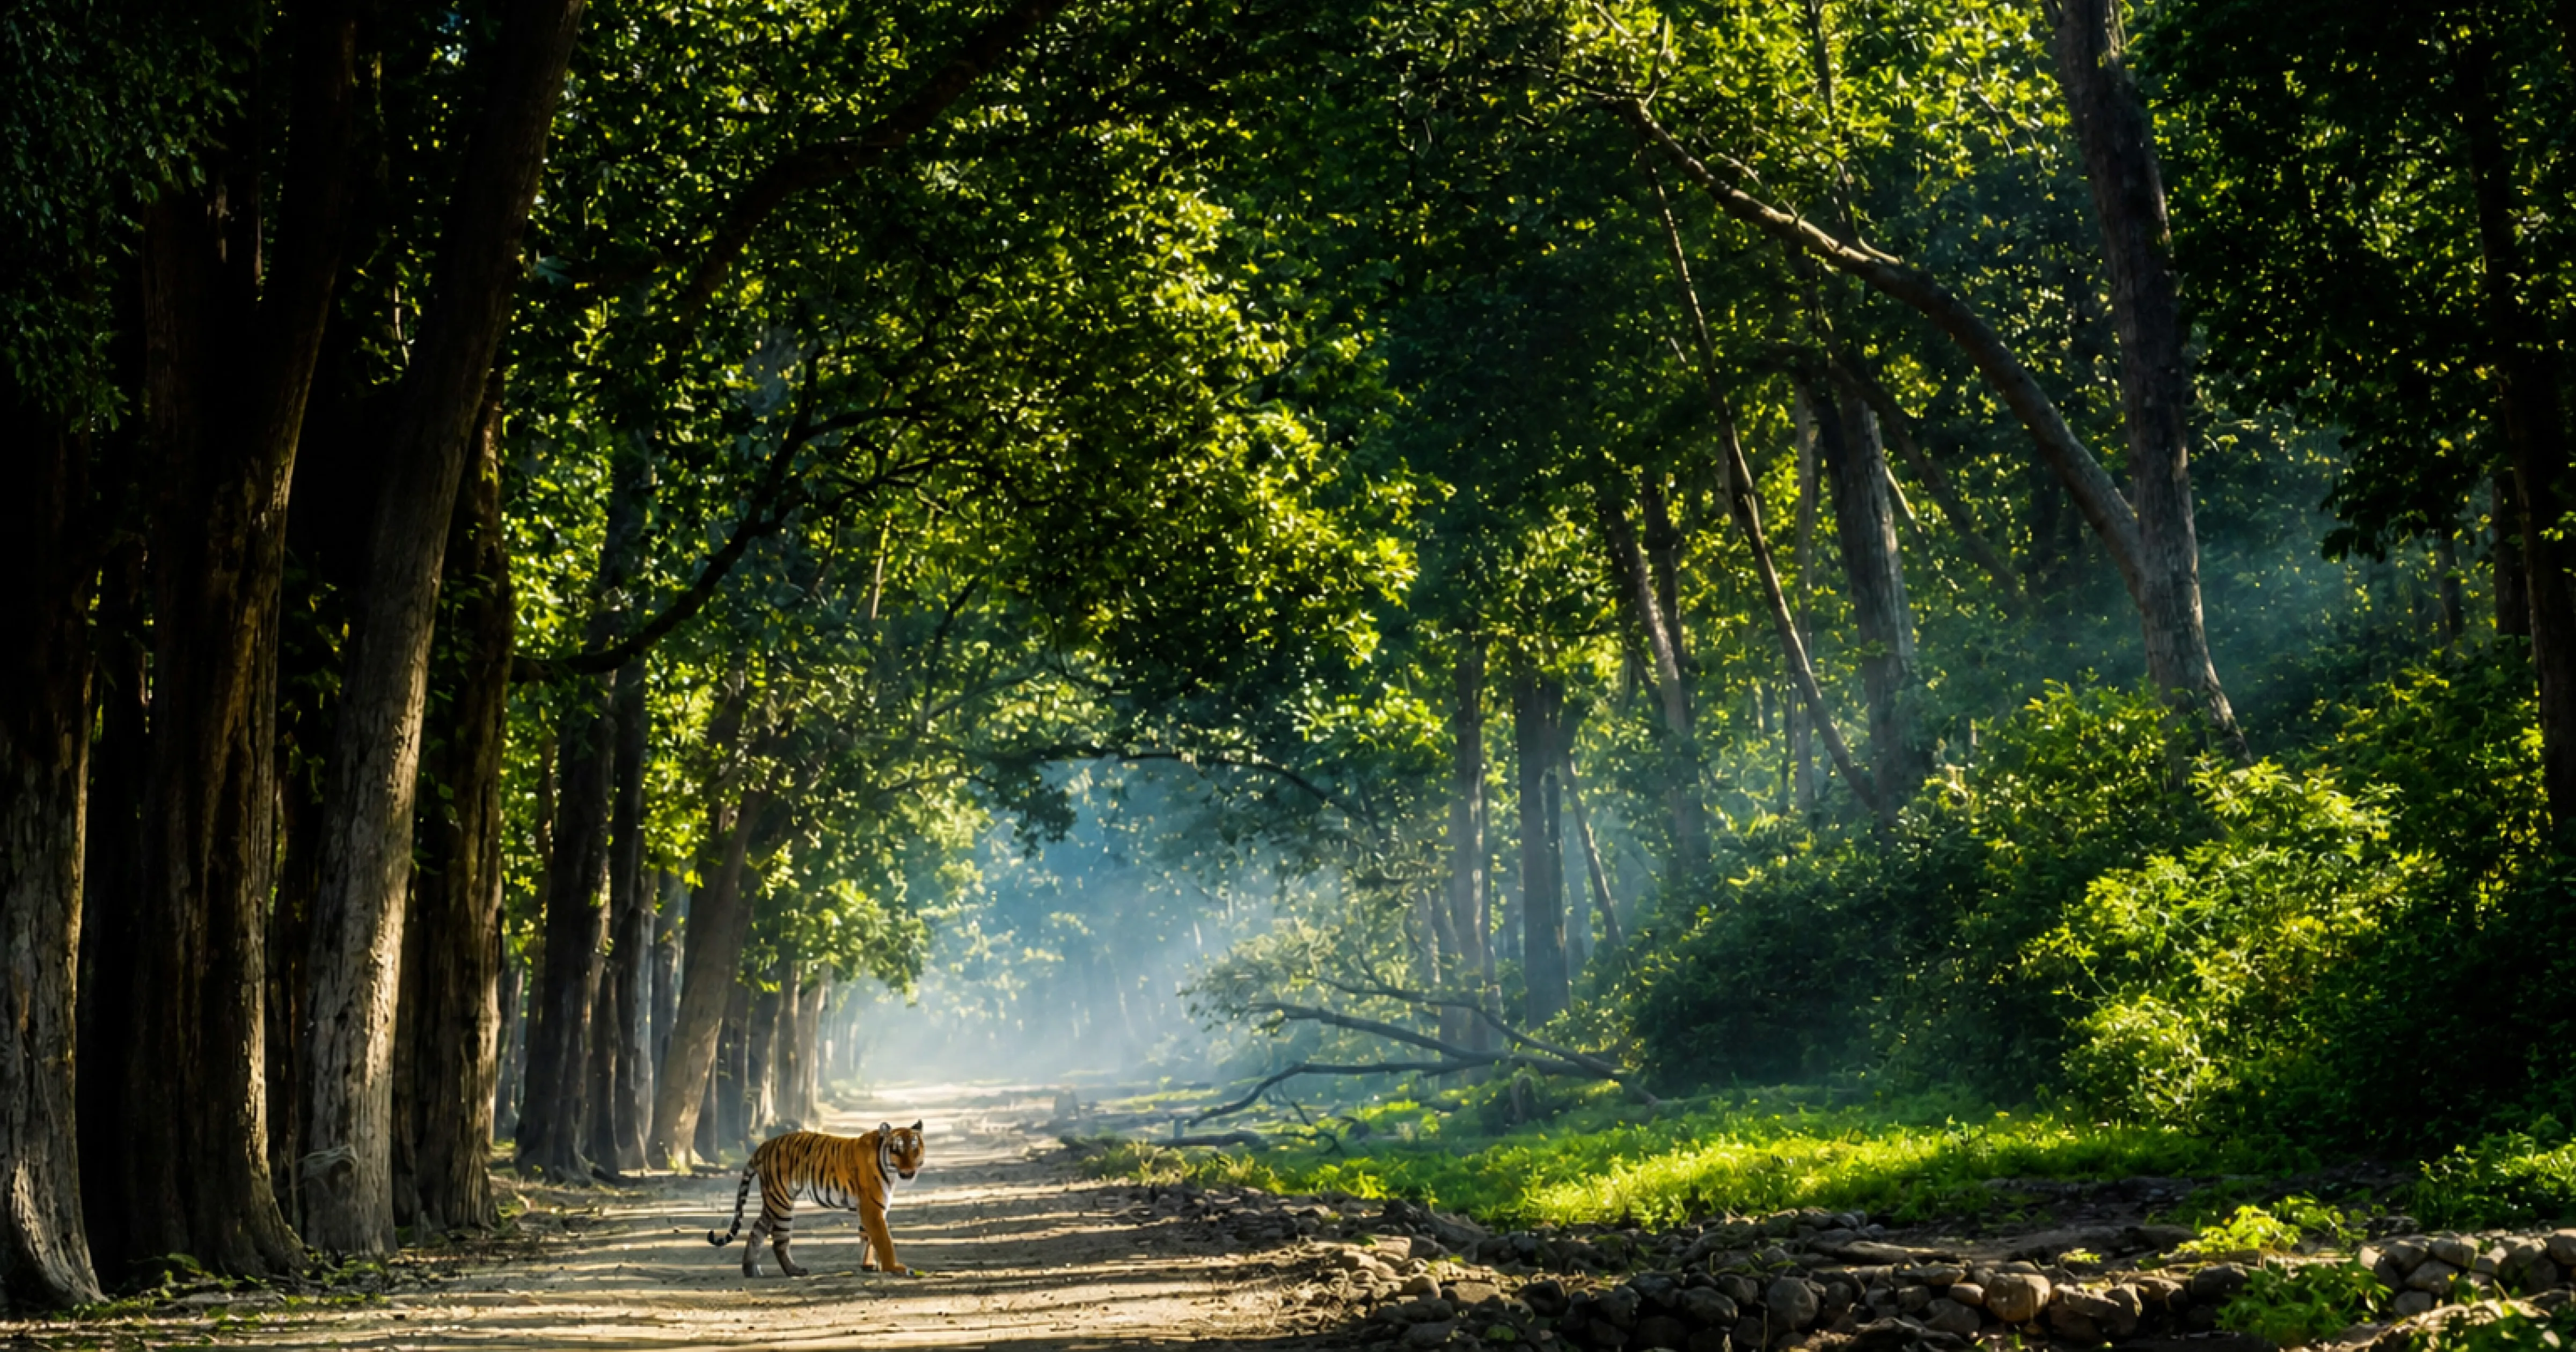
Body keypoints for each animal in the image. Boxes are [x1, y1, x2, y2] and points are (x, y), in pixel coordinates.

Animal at [707, 1121, 926, 1277]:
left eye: (914, 1149)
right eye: (896, 1149)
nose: (909, 1171)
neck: (890, 1171)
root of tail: (763, 1146)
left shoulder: (868, 1209)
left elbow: (868, 1237)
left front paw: (868, 1266)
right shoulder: (872, 1208)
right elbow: (885, 1241)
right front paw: (895, 1268)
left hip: (772, 1201)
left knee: (757, 1229)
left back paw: (751, 1270)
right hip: (782, 1202)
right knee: (779, 1242)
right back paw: (794, 1271)